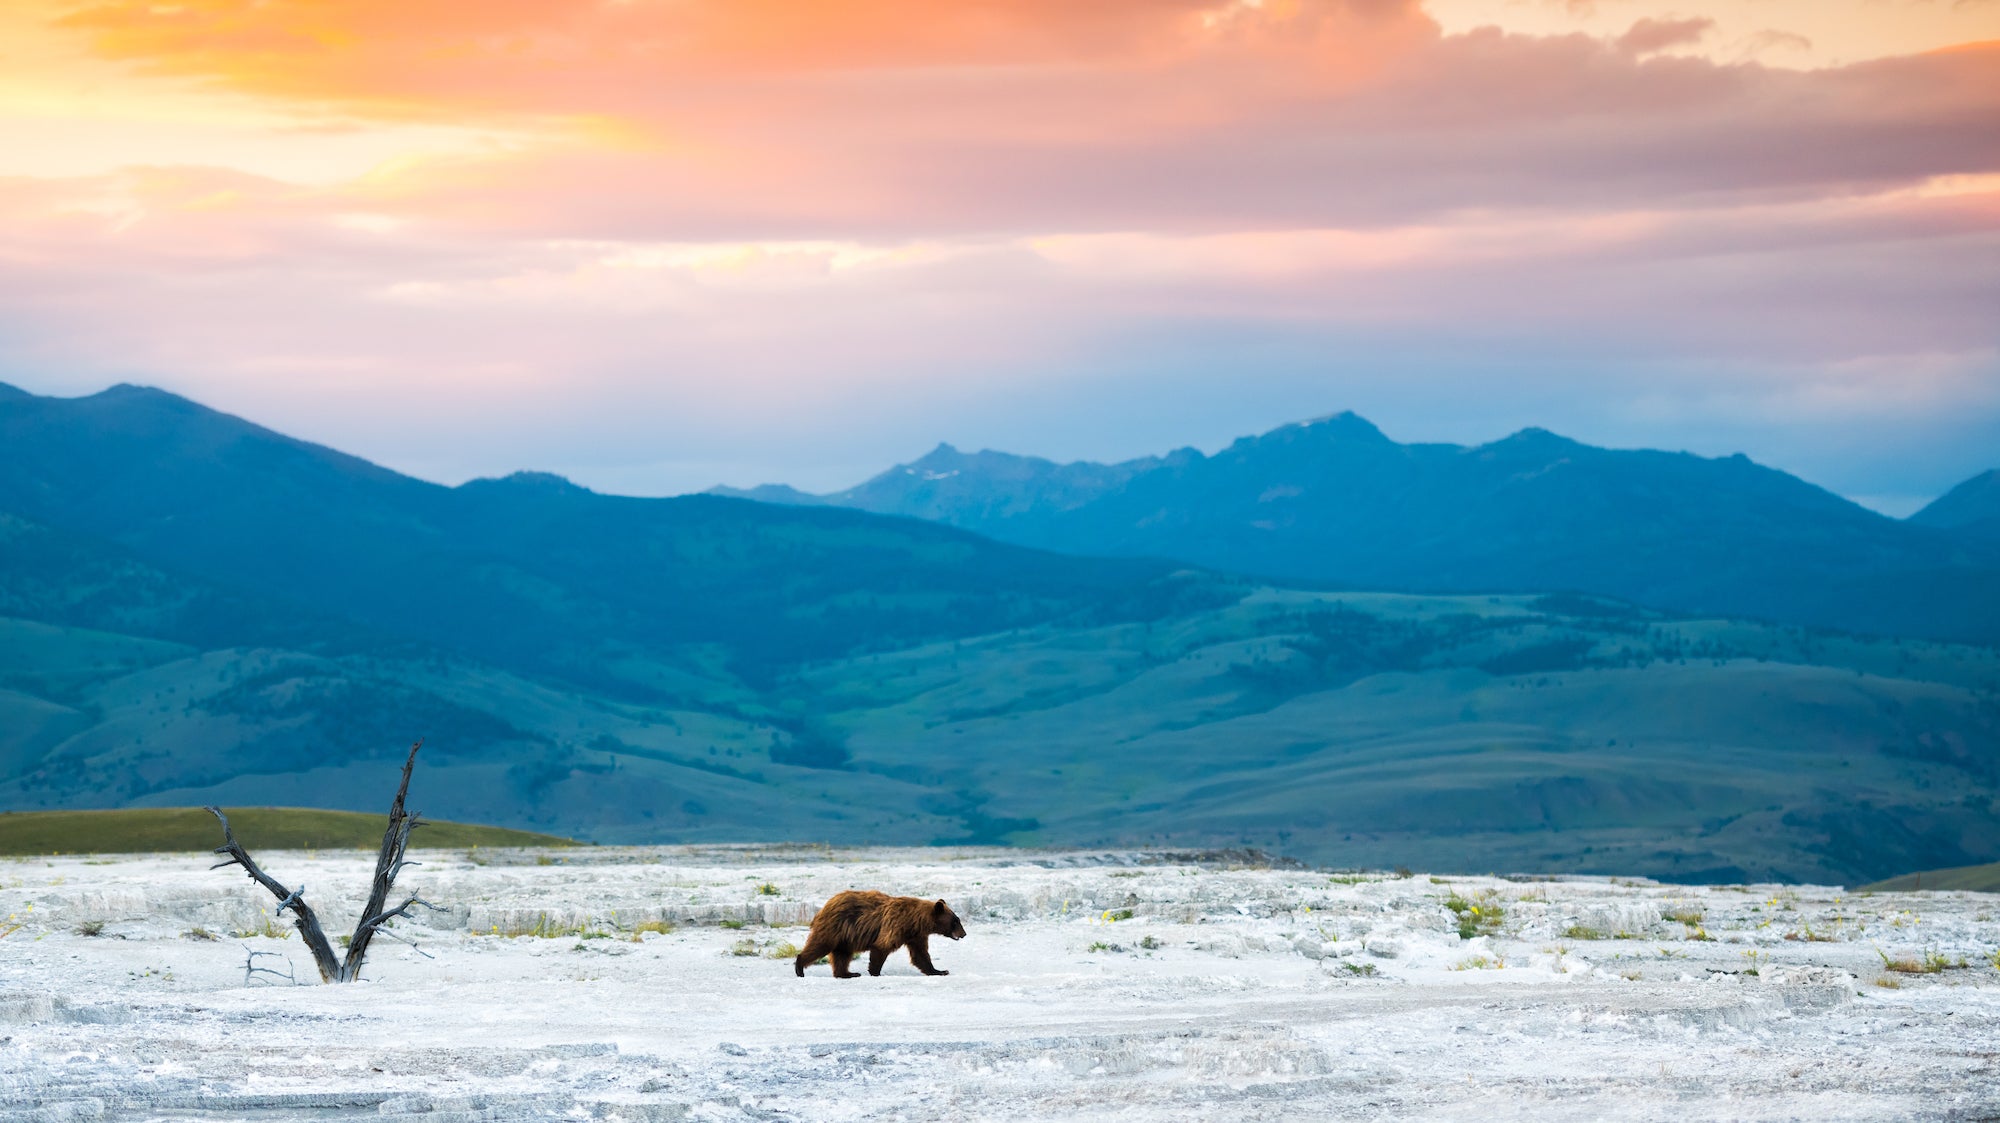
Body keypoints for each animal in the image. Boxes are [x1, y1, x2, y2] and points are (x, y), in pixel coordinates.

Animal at [793, 890, 966, 978]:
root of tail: (825, 906)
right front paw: (875, 971)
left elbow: (921, 955)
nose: (964, 933)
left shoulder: (915, 935)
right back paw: (800, 968)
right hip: (835, 927)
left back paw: (848, 973)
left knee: (842, 954)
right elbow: (882, 946)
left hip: (845, 936)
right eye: (955, 921)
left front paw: (939, 971)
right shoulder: (897, 925)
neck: (915, 921)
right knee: (820, 945)